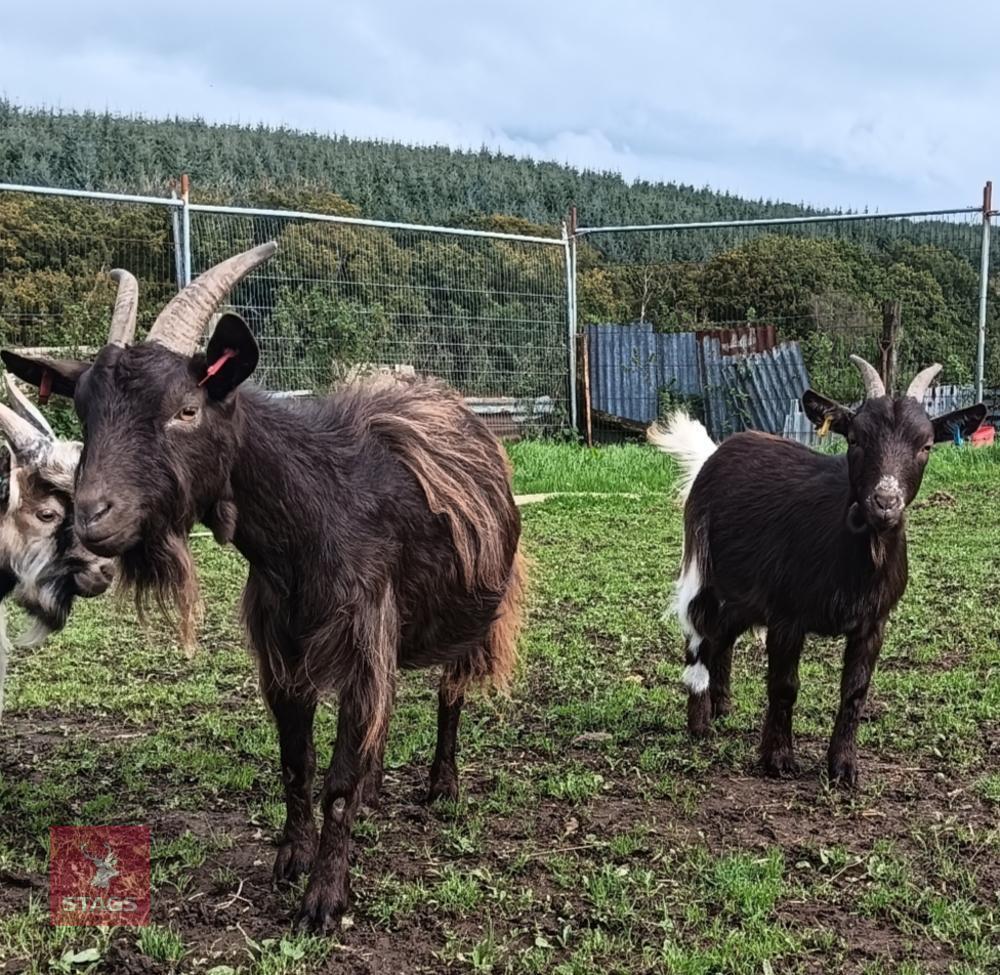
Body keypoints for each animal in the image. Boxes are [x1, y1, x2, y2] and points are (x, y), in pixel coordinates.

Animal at [648, 356, 985, 786]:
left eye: (925, 446)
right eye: (855, 440)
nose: (885, 501)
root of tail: (716, 452)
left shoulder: (874, 622)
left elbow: (855, 691)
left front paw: (843, 767)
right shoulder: (787, 614)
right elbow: (785, 685)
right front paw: (778, 759)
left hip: (744, 593)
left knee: (723, 638)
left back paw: (722, 707)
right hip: (706, 570)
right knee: (700, 636)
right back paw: (700, 722)